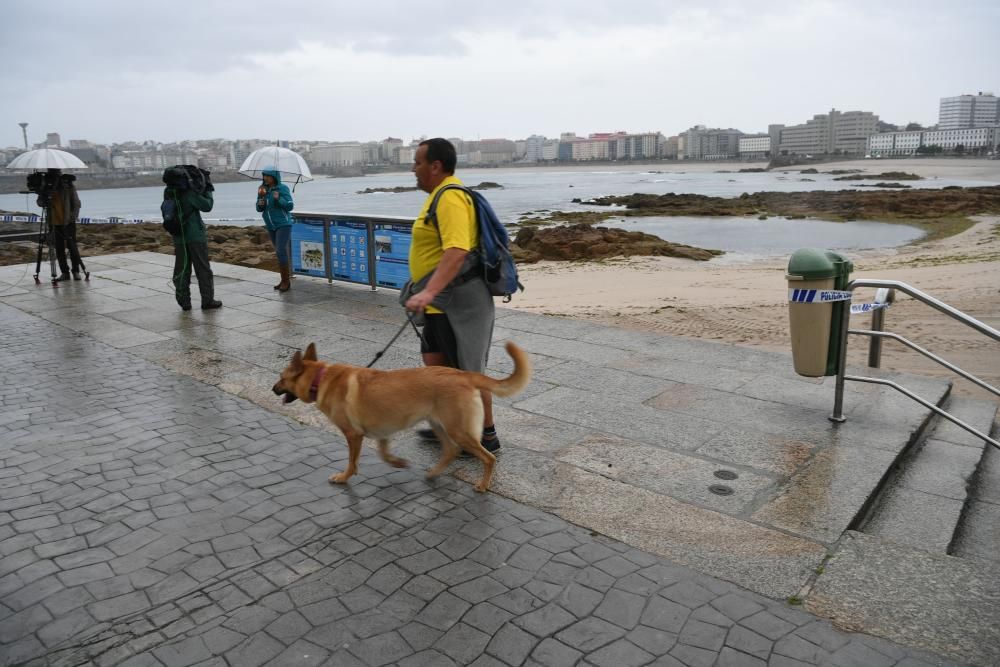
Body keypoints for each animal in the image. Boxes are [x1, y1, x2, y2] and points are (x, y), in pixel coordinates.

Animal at [270, 342, 528, 494]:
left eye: (281, 378)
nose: (272, 389)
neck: (320, 378)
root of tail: (464, 374)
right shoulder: (381, 432)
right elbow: (383, 453)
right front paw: (398, 463)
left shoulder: (354, 435)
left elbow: (352, 462)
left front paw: (344, 477)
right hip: (439, 425)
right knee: (450, 451)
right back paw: (434, 473)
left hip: (458, 430)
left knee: (488, 458)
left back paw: (483, 485)